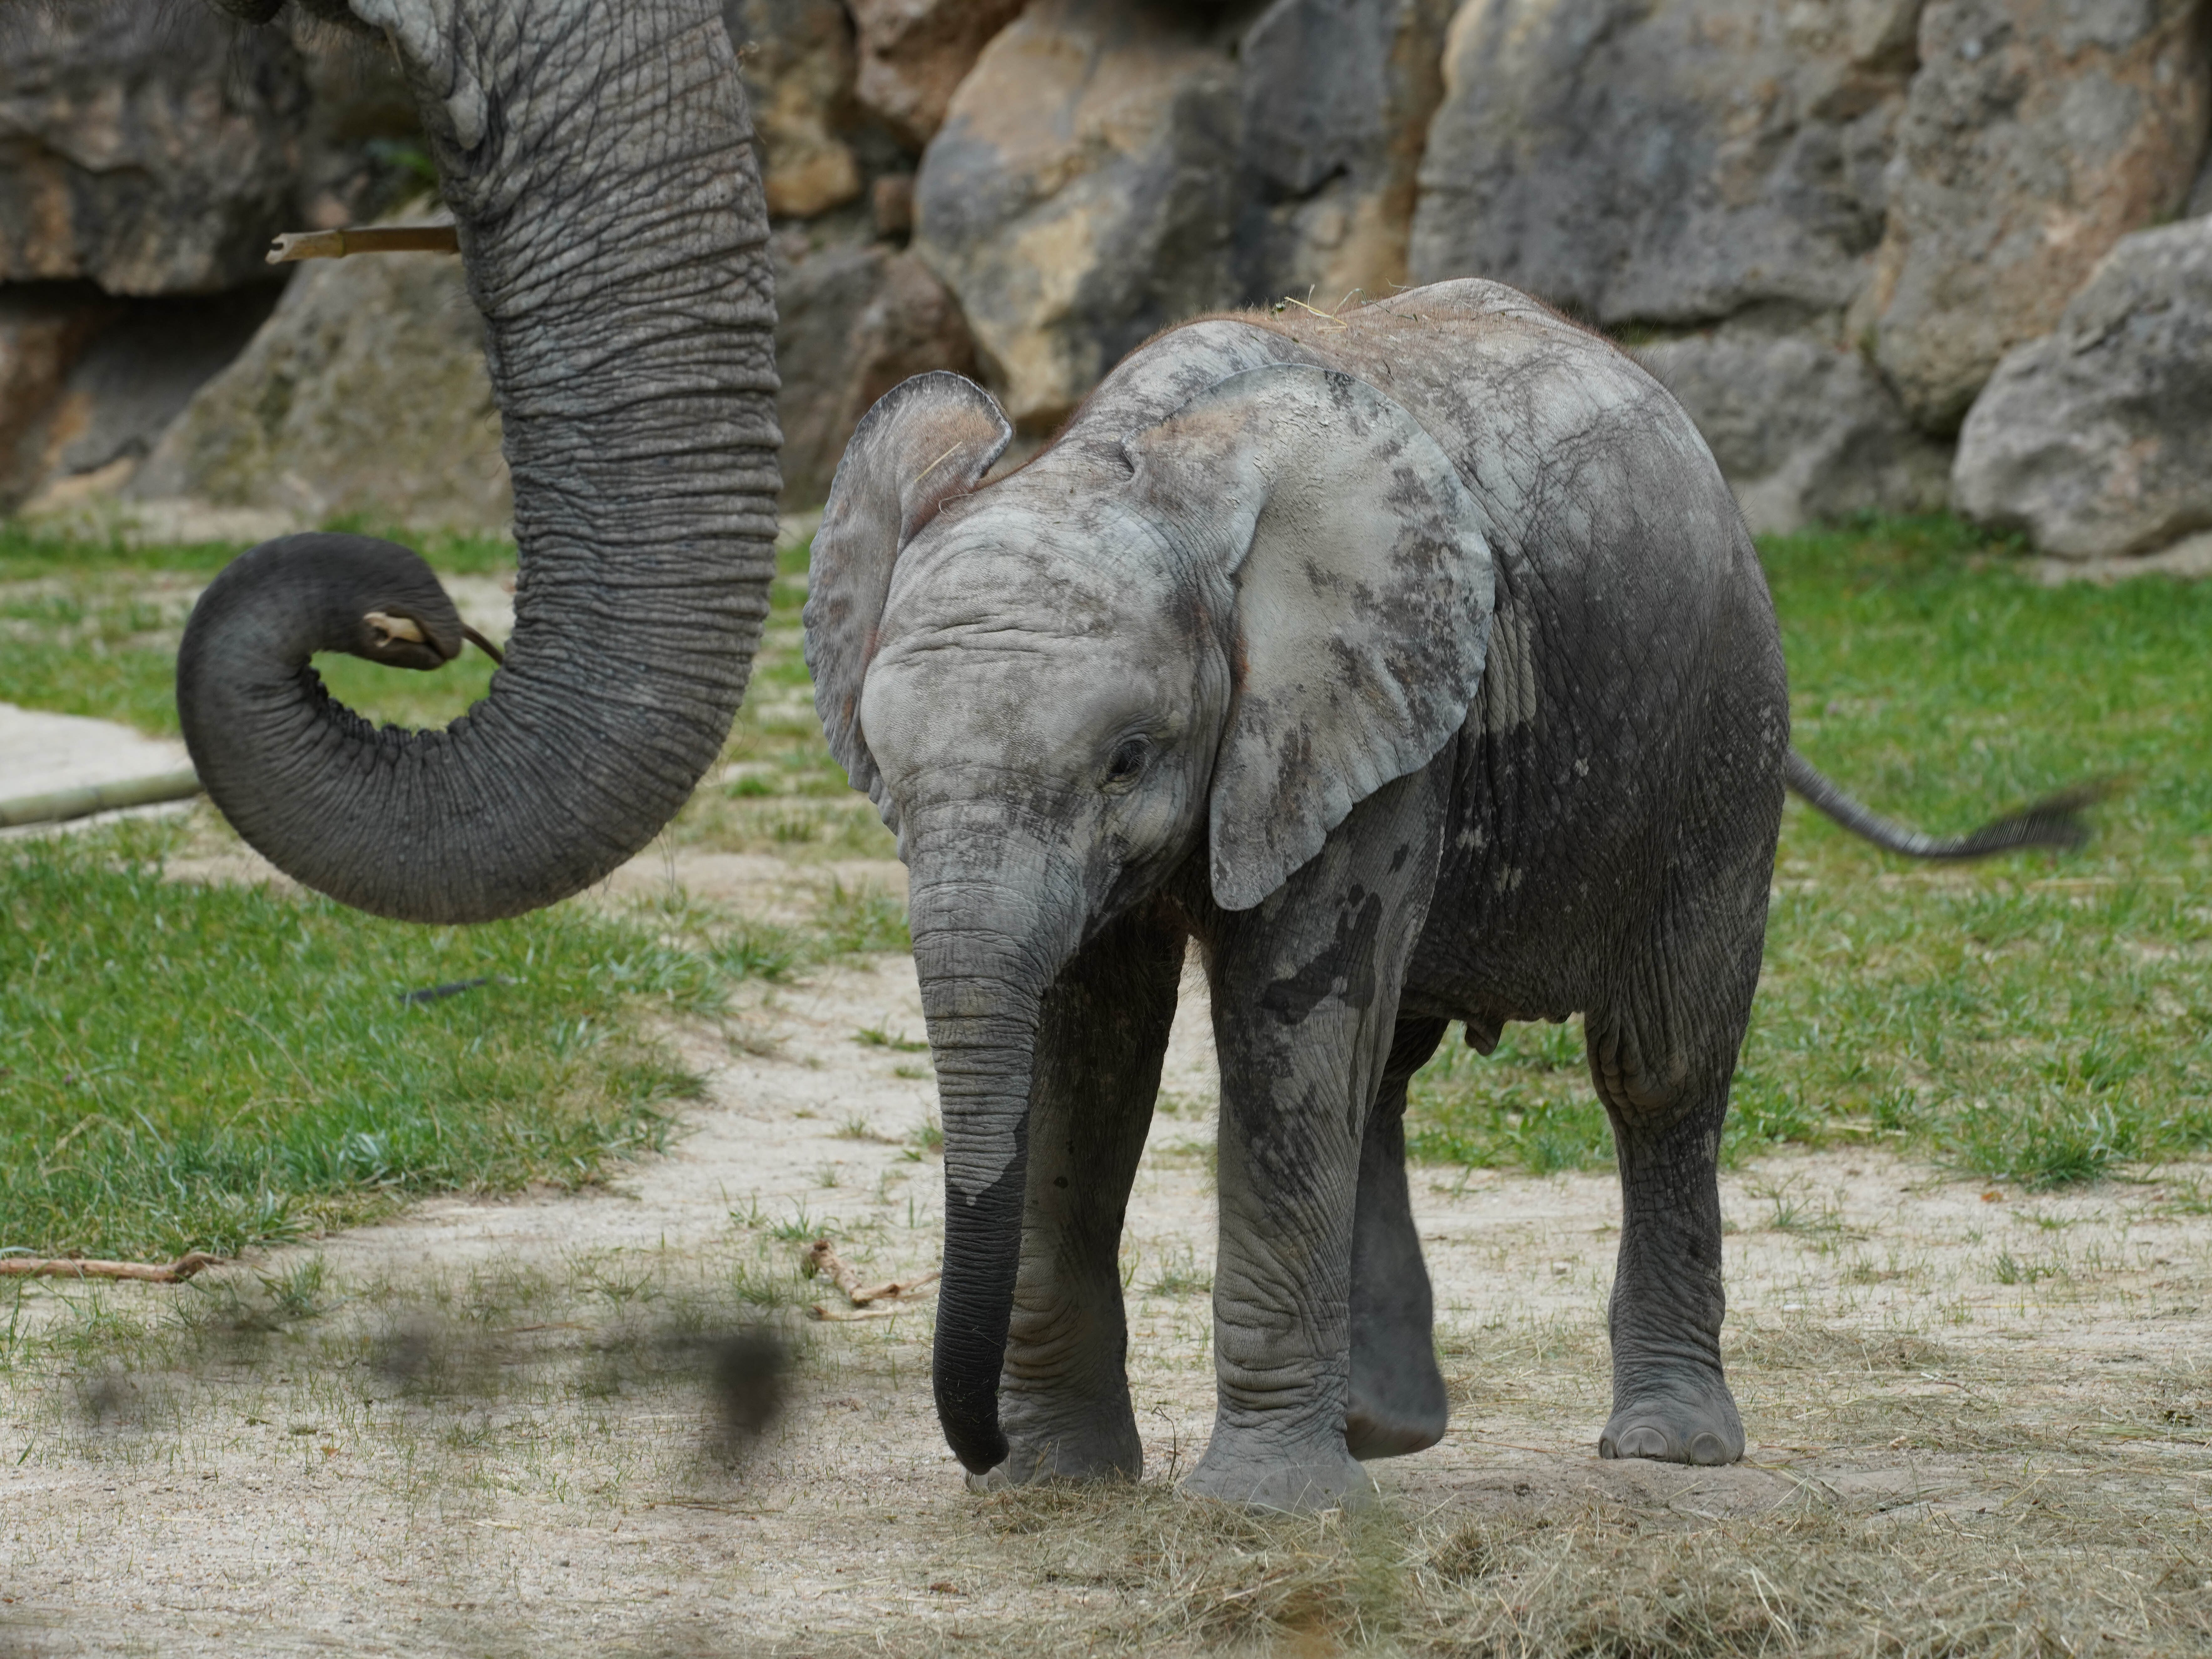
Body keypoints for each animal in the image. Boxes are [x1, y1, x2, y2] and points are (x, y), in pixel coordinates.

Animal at [803, 279, 2097, 1510]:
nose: (975, 1444)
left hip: (1725, 724)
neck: (1139, 458)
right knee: (1381, 1067)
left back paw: (1665, 1446)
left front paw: (1261, 1511)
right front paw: (1054, 1482)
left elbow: (1285, 1030)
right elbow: (1090, 1050)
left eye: (1127, 757)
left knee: (1656, 1066)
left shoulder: (1359, 712)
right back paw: (1382, 1430)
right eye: (887, 775)